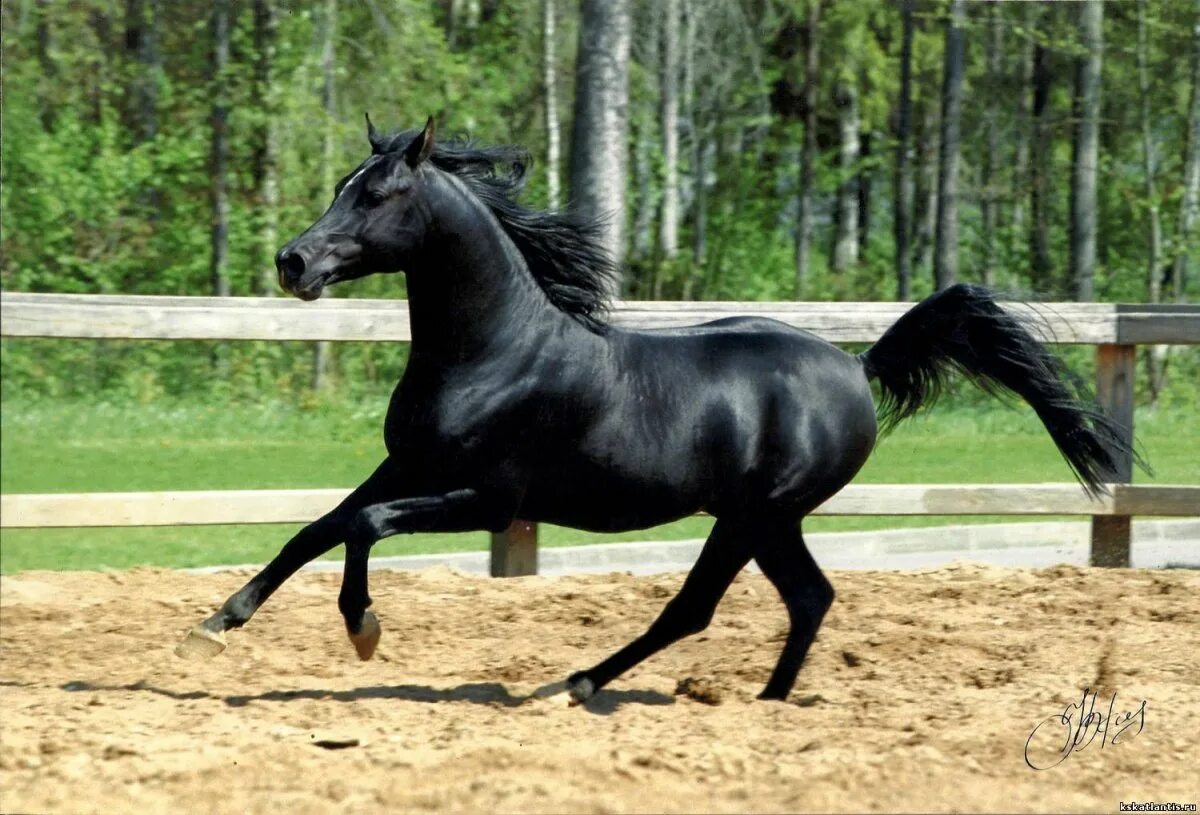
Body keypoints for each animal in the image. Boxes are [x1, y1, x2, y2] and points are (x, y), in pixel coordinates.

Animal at [175, 118, 1123, 705]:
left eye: (377, 196)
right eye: (344, 183)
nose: (293, 262)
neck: (493, 351)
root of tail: (856, 367)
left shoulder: (491, 501)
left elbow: (363, 525)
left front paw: (363, 628)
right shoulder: (408, 464)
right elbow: (315, 528)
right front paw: (213, 625)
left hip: (752, 514)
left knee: (700, 607)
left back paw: (585, 683)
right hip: (768, 521)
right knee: (808, 598)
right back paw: (764, 700)